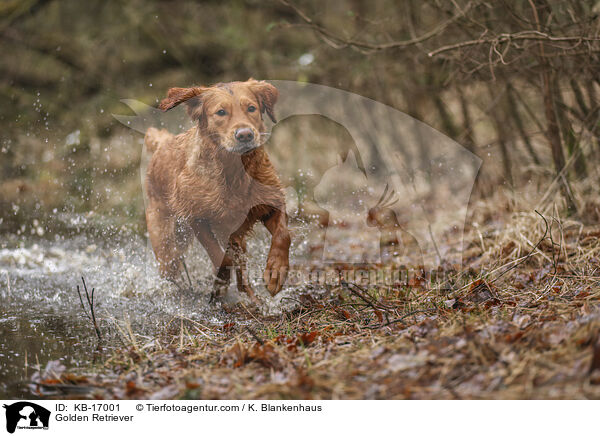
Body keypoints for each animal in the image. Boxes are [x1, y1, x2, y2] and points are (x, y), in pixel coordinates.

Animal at [143, 79, 288, 304]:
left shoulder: (270, 202)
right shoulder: (197, 218)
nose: (245, 135)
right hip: (166, 240)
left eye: (251, 108)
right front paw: (220, 284)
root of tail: (162, 144)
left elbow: (283, 235)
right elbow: (220, 256)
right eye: (221, 112)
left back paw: (252, 300)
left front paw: (276, 271)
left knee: (242, 274)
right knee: (171, 268)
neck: (233, 171)